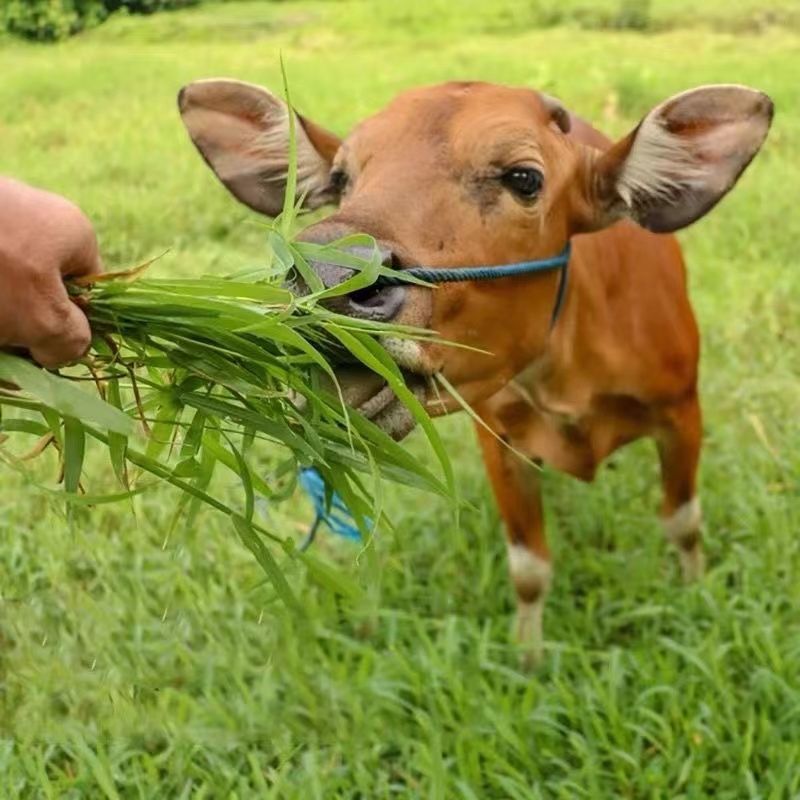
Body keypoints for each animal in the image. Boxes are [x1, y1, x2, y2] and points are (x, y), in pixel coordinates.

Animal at [180, 79, 768, 664]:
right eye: (343, 179)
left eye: (524, 178)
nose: (326, 276)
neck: (566, 370)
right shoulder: (501, 441)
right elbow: (529, 568)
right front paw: (528, 655)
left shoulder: (682, 411)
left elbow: (682, 524)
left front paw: (693, 592)